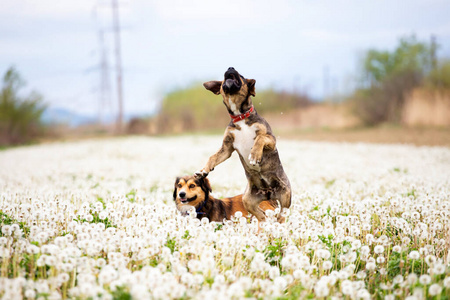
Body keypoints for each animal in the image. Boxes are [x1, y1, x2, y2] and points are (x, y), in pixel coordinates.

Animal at [196, 67, 292, 223]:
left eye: (241, 75)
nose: (230, 67)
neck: (240, 116)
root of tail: (268, 193)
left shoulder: (270, 139)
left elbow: (260, 139)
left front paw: (254, 155)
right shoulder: (227, 148)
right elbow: (213, 157)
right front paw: (204, 170)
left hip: (285, 196)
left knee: (281, 215)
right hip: (247, 199)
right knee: (261, 214)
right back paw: (264, 222)